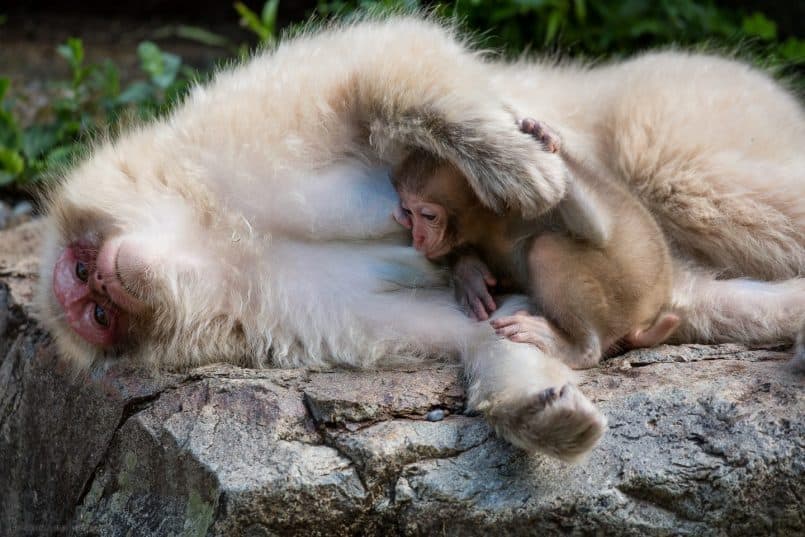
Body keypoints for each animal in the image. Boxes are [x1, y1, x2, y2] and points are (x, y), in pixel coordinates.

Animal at [392, 118, 680, 368]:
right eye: (408, 212)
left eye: (428, 216)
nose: (417, 237)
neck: (491, 219)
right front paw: (469, 273)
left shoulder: (528, 204)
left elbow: (600, 230)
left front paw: (548, 143)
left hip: (621, 297)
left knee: (546, 247)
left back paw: (580, 349)